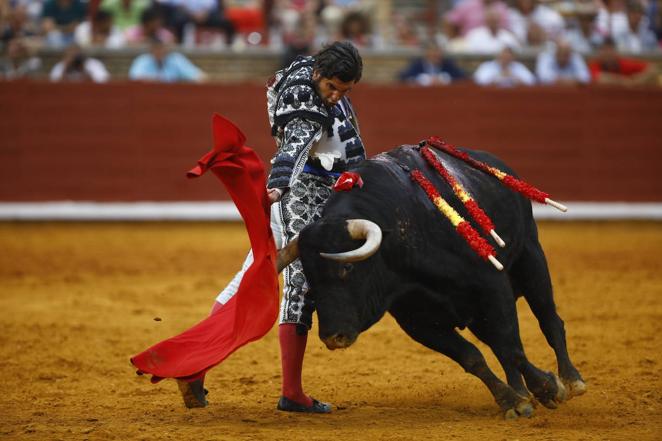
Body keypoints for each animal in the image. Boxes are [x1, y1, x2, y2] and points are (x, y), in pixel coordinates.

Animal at [280, 144, 588, 416]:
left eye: (347, 269)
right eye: (310, 277)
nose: (333, 337)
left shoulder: (492, 285)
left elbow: (511, 345)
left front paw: (549, 389)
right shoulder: (418, 321)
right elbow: (473, 356)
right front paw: (513, 401)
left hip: (531, 257)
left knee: (548, 320)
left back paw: (572, 381)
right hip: (478, 313)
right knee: (497, 342)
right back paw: (523, 392)